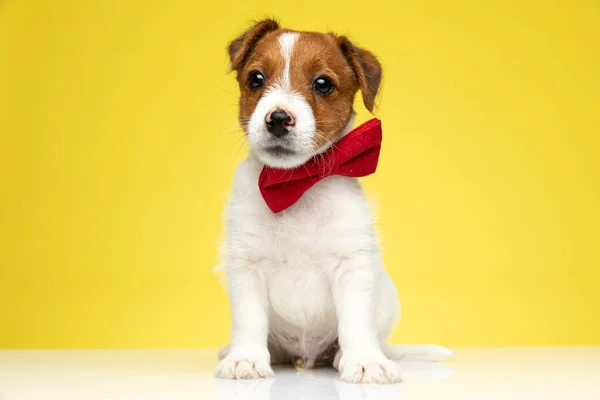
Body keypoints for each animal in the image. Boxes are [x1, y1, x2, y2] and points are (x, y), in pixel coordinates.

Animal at [216, 19, 450, 384]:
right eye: (255, 79)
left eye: (323, 84)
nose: (278, 118)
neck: (295, 184)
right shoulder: (245, 265)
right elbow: (249, 319)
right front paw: (246, 358)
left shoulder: (351, 265)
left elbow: (355, 321)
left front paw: (365, 360)